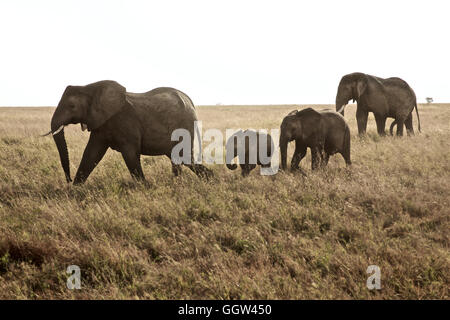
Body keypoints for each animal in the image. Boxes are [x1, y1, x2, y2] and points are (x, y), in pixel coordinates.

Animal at [46, 80, 212, 185]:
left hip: (185, 126)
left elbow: (130, 154)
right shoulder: (101, 123)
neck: (90, 87)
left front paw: (145, 187)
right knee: (179, 159)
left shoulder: (125, 123)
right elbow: (91, 153)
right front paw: (75, 190)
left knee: (185, 158)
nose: (68, 181)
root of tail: (191, 102)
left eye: (72, 106)